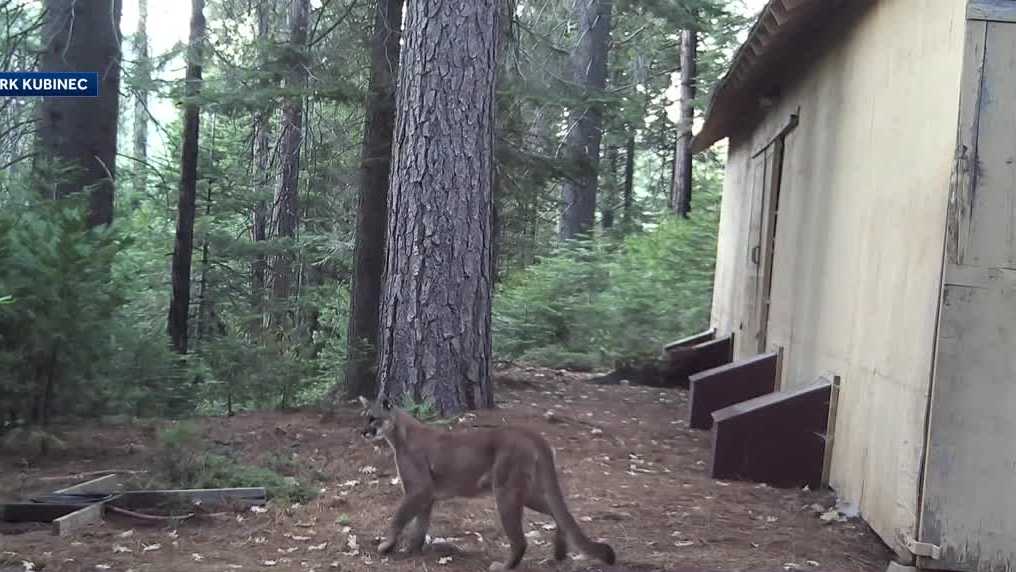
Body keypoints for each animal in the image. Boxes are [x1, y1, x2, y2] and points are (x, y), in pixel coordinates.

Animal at [361, 396, 613, 568]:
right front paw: (413, 549)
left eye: (374, 418)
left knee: (521, 540)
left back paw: (504, 566)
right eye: (365, 417)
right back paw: (560, 551)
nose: (364, 432)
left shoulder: (419, 489)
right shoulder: (427, 495)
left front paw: (386, 546)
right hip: (525, 490)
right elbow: (420, 525)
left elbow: (398, 518)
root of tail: (530, 433)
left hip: (505, 490)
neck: (398, 435)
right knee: (556, 512)